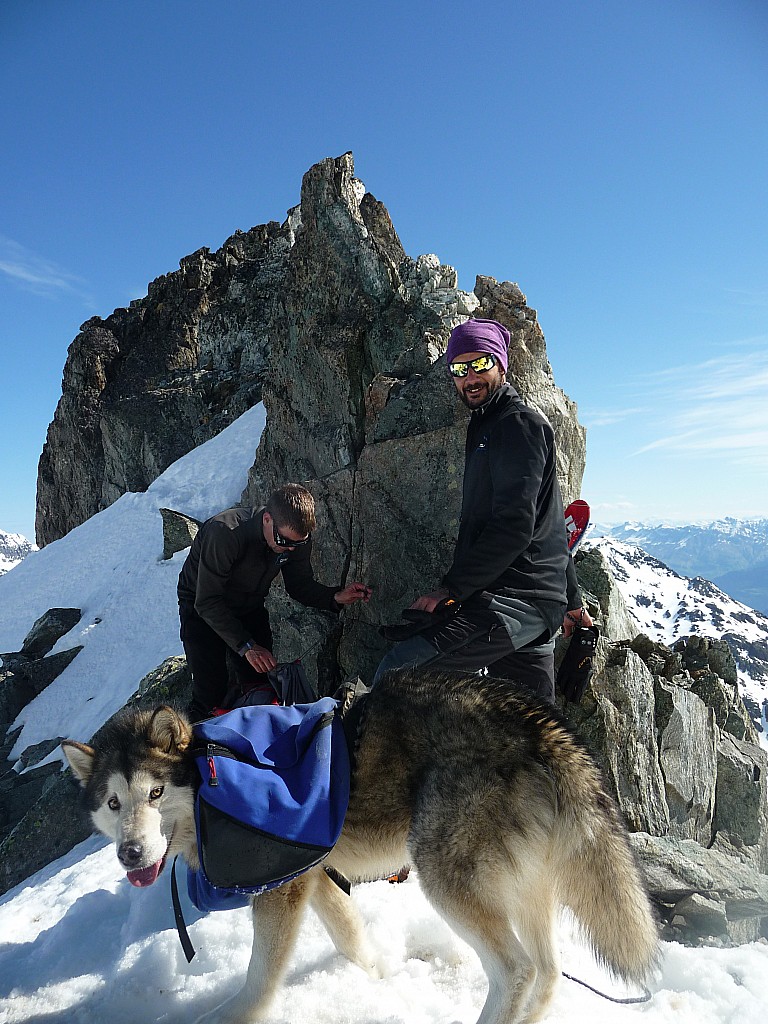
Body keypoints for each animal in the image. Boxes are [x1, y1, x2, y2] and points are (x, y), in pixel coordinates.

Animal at [63, 671, 659, 1024]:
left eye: (155, 793)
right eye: (114, 803)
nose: (131, 854)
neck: (214, 775)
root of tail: (541, 722)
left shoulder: (278, 894)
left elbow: (259, 980)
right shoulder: (314, 879)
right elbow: (351, 939)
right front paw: (373, 979)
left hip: (444, 878)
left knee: (518, 970)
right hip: (525, 888)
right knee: (550, 972)